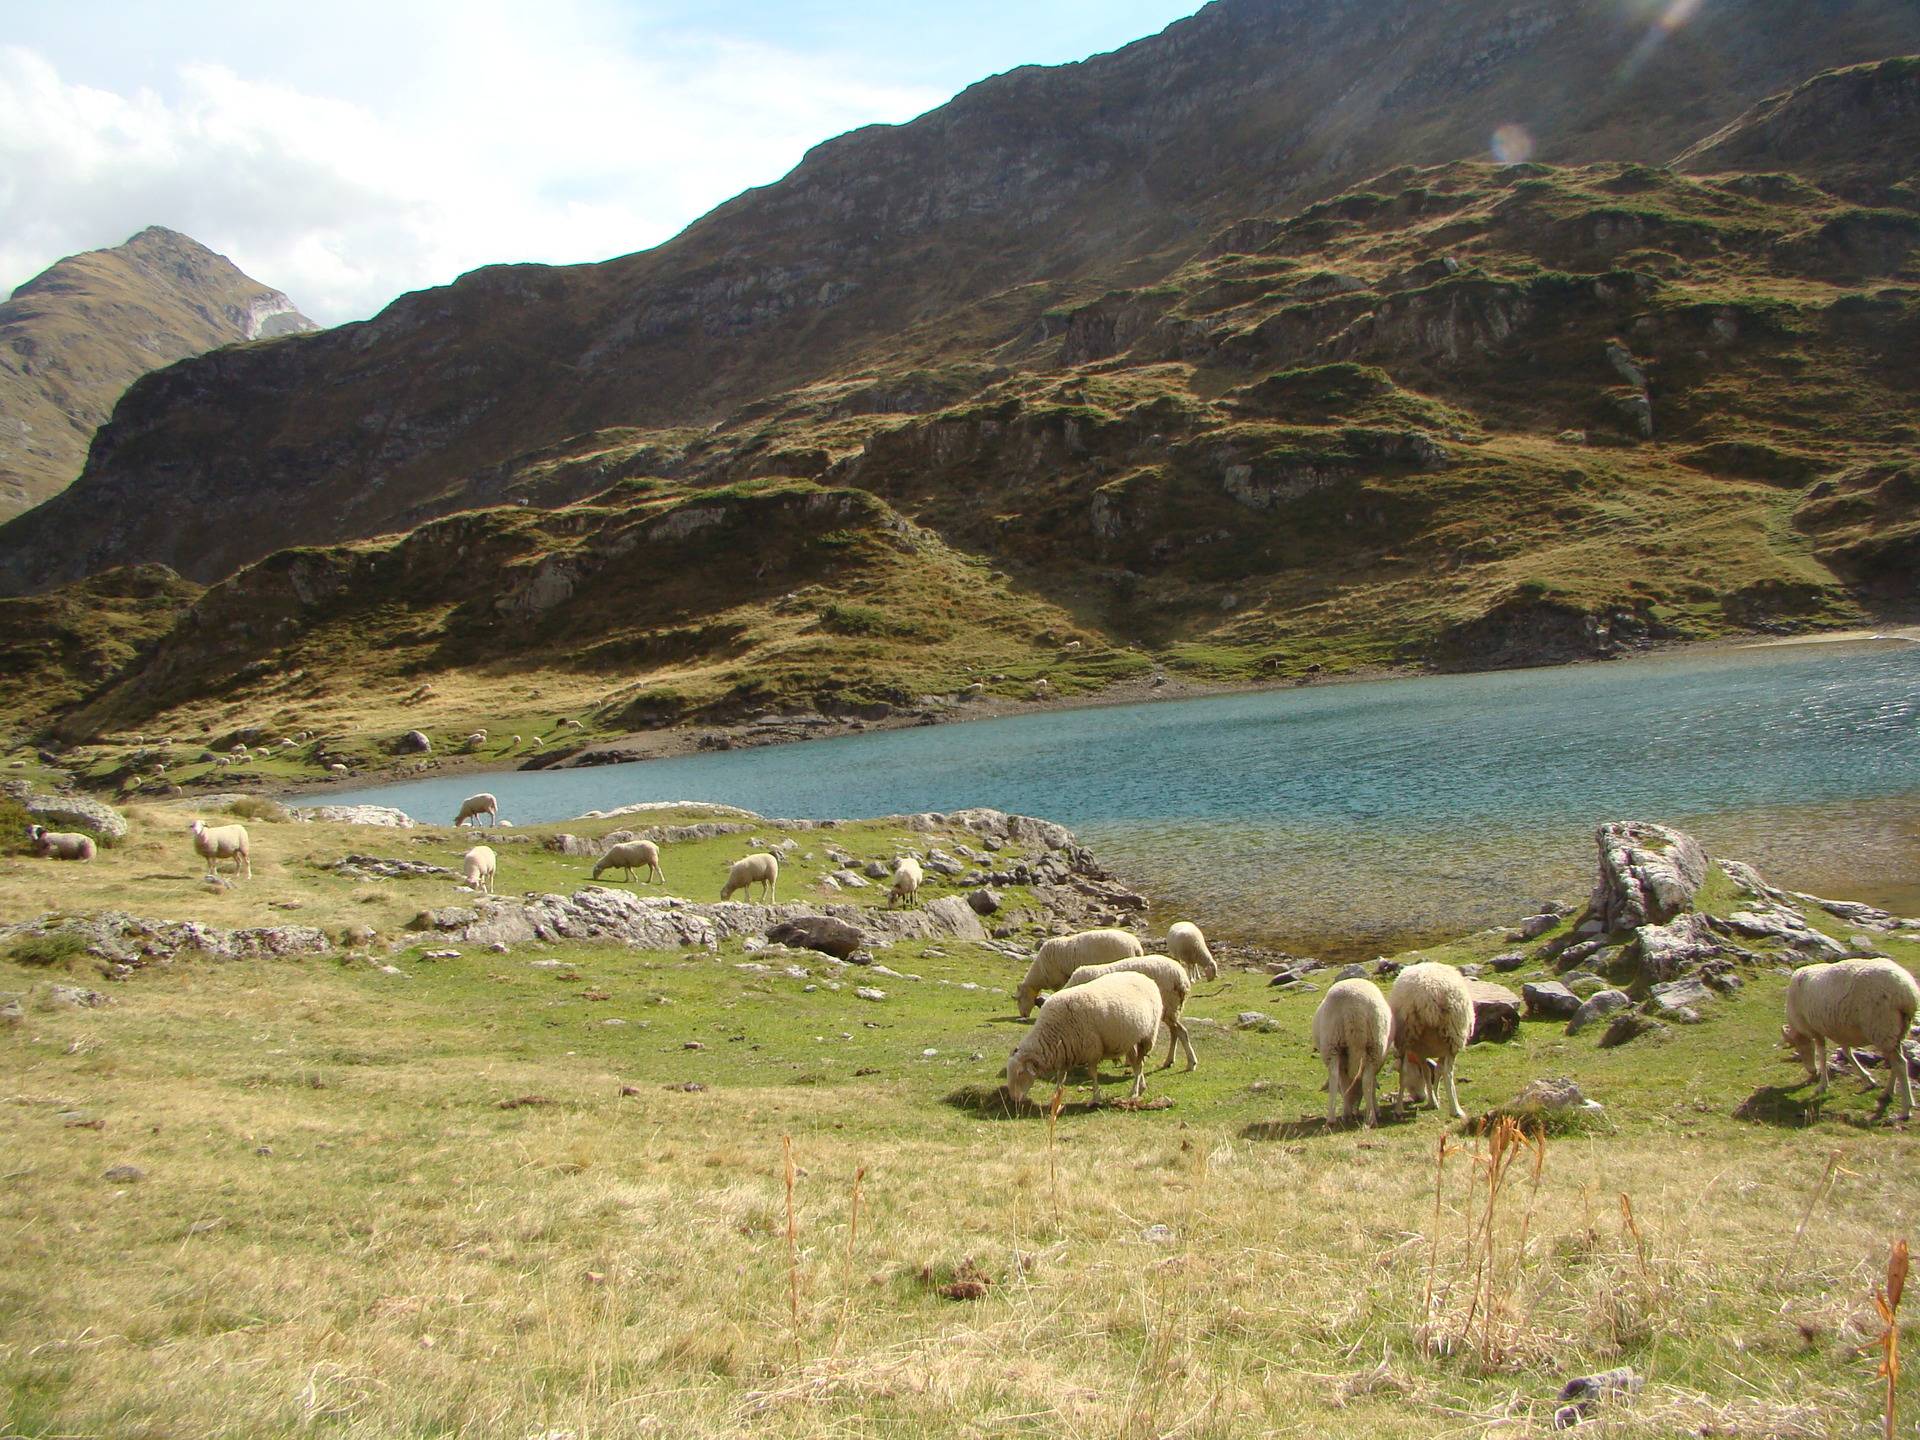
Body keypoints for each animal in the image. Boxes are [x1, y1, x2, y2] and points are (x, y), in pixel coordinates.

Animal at [1006, 971, 1163, 1107]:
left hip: (1147, 1036)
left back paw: (1134, 1092)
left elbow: (1092, 1074)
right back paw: (1141, 1087)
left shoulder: (1092, 1050)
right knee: (1137, 1064)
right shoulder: (1065, 1052)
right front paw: (1055, 1099)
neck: (1053, 1031)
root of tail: (1146, 978)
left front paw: (1095, 1099)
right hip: (1129, 1039)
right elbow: (1060, 1077)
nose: (1013, 1099)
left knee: (1140, 1064)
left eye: (1020, 1073)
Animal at [1062, 954, 1198, 1071]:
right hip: (1171, 1010)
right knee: (1175, 1032)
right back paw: (1169, 1061)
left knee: (1181, 1031)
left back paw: (1191, 1063)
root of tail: (1182, 979)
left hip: (1168, 1007)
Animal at [1314, 979, 1393, 1127]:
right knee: (1366, 1080)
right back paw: (1368, 1118)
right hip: (1375, 1045)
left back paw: (1332, 1120)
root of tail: (1353, 1007)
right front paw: (1376, 1109)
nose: (1355, 1109)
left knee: (1335, 1077)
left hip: (1331, 1043)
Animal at [1387, 962, 1473, 1120]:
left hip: (1408, 1037)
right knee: (1448, 1073)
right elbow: (1435, 1071)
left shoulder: (1421, 1051)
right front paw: (1434, 1100)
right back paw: (1456, 1110)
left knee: (1404, 1072)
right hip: (1453, 1036)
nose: (1419, 1098)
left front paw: (1433, 1099)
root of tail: (1428, 993)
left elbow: (1430, 1072)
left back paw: (1399, 1109)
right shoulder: (1429, 1051)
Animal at [1783, 958, 1919, 1119]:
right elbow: (1847, 1052)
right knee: (1896, 1063)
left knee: (1900, 1064)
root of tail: (1906, 992)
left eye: (1800, 1048)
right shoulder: (1841, 1030)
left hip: (1881, 1027)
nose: (1811, 1071)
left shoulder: (1816, 1029)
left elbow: (1822, 1054)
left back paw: (1906, 1108)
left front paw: (1822, 1085)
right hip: (1895, 1031)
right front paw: (1868, 1079)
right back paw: (1888, 1092)